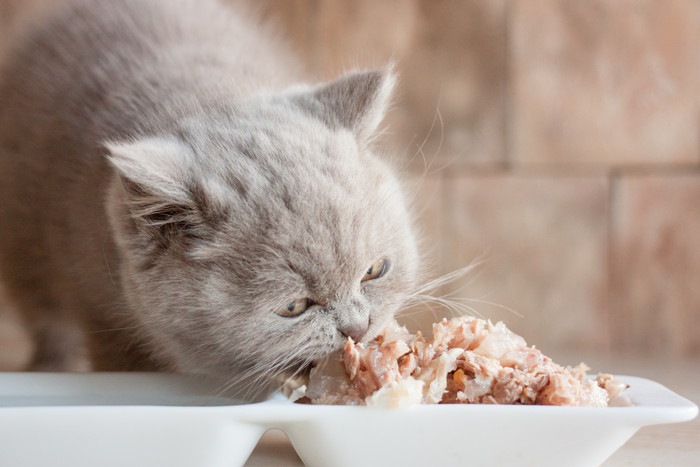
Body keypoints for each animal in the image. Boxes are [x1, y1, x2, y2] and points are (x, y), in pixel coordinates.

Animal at [0, 0, 418, 394]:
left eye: (374, 270)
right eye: (294, 307)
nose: (358, 328)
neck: (203, 95)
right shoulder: (102, 314)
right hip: (24, 244)